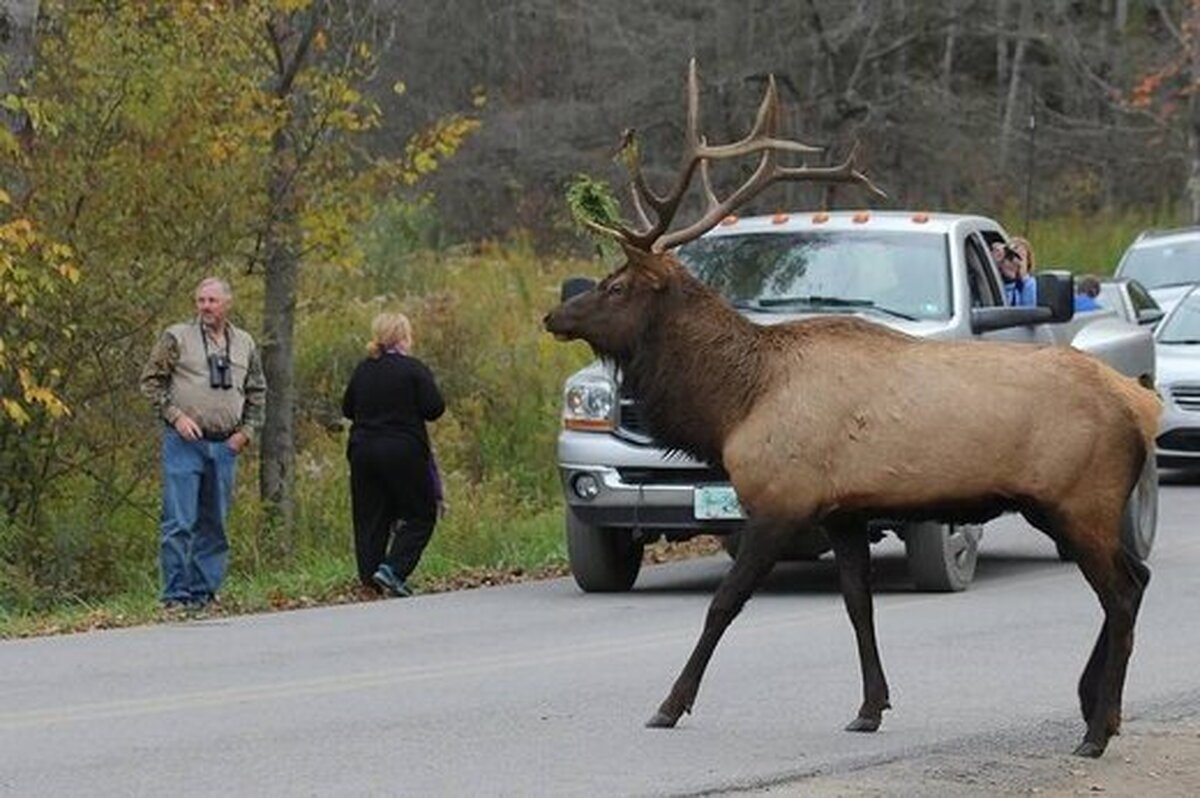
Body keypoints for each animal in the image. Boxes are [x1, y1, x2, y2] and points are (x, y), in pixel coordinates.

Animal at [547, 59, 1161, 758]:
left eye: (617, 287)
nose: (554, 315)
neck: (734, 404)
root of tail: (1142, 404)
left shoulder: (781, 501)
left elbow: (724, 604)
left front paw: (670, 705)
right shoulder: (842, 511)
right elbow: (857, 604)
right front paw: (870, 707)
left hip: (1077, 499)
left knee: (1120, 591)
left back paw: (1096, 729)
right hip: (1073, 505)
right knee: (1137, 579)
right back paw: (1096, 710)